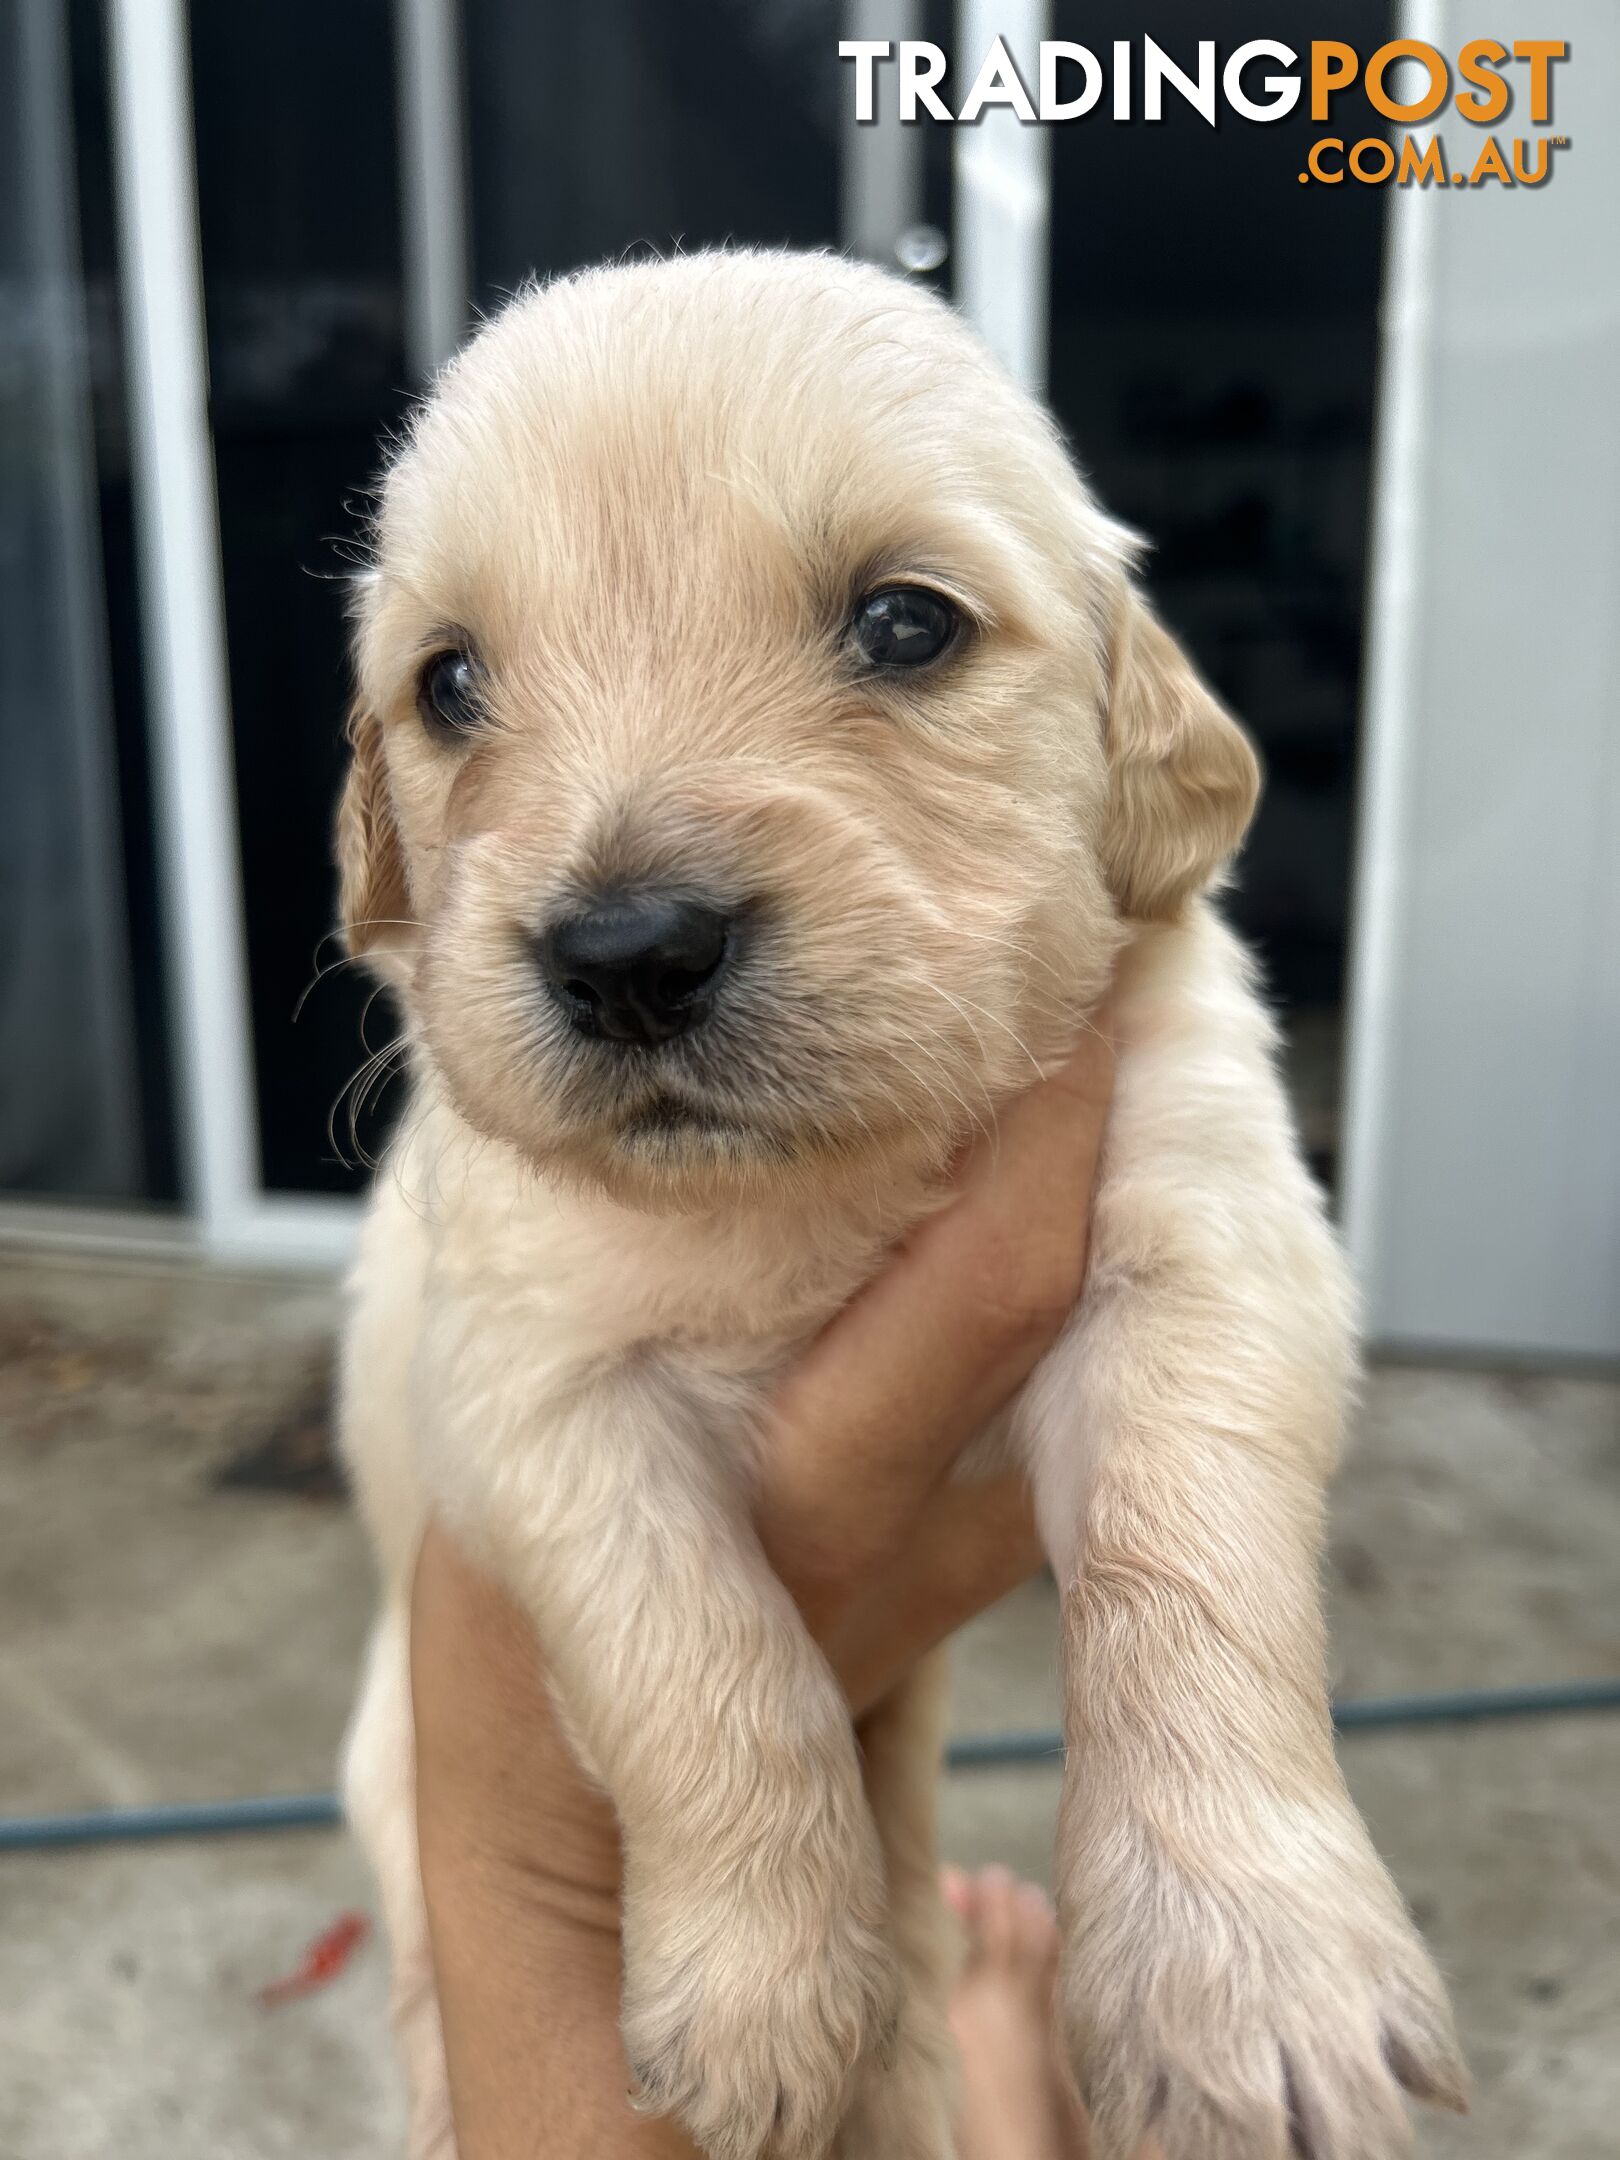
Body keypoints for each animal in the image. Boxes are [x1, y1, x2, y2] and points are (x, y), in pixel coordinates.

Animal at [332, 252, 1468, 2160]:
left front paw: (1252, 1975)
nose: (627, 956)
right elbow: (700, 1658)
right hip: (394, 1767)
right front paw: (759, 1994)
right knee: (423, 1977)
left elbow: (1186, 1562)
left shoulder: (1206, 1231)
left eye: (907, 625)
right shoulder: (528, 1395)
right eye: (452, 682)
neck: (823, 1169)